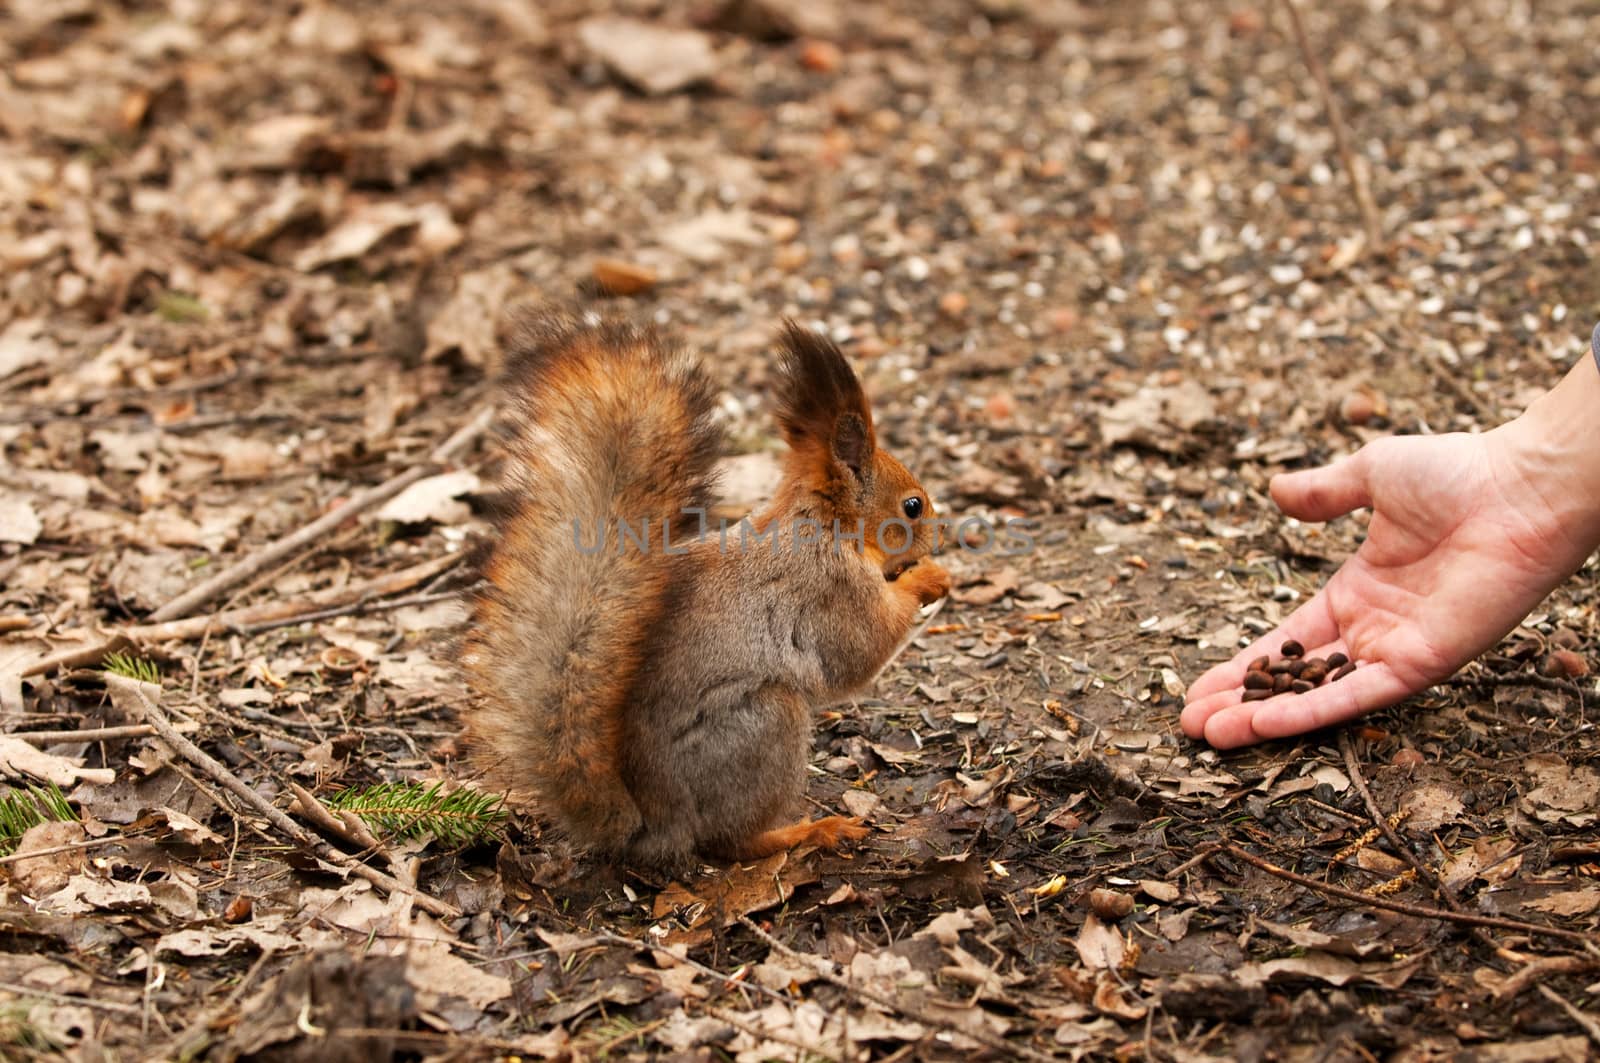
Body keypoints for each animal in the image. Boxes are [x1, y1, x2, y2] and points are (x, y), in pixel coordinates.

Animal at [464, 308, 947, 870]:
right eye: (913, 506)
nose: (937, 535)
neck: (825, 525)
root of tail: (650, 826)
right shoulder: (830, 589)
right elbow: (861, 651)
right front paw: (929, 579)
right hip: (763, 725)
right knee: (727, 842)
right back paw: (810, 831)